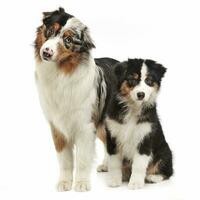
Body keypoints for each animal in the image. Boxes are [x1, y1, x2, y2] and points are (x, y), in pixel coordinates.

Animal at [34, 7, 119, 191]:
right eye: (50, 30)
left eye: (68, 40)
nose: (46, 52)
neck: (61, 74)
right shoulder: (57, 127)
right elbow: (65, 160)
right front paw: (64, 183)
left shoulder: (85, 126)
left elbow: (82, 159)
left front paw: (81, 183)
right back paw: (106, 165)